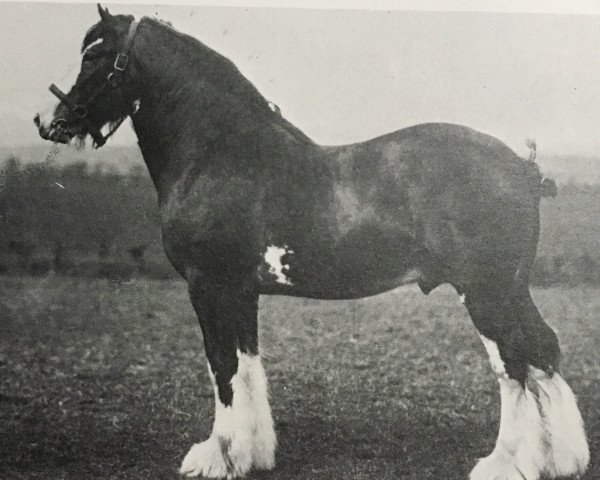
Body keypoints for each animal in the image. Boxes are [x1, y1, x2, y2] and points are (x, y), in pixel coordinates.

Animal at [35, 5, 588, 478]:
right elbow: (246, 367)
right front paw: (252, 454)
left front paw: (217, 457)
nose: (53, 123)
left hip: (486, 292)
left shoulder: (208, 287)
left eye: (94, 55)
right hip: (511, 289)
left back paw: (505, 464)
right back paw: (560, 460)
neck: (220, 154)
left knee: (513, 365)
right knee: (541, 353)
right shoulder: (240, 293)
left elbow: (222, 369)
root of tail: (522, 167)